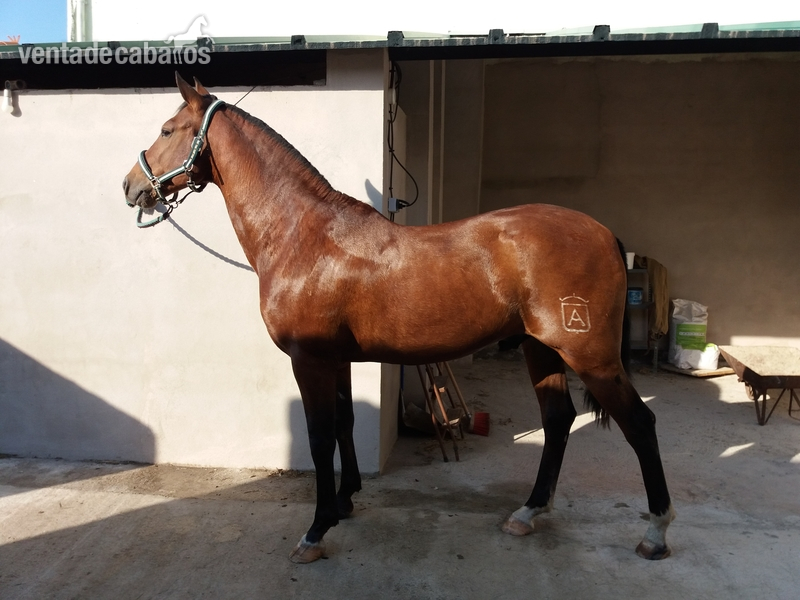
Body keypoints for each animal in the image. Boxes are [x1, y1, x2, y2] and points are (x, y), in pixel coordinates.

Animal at [122, 73, 675, 564]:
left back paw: (655, 533)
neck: (303, 234)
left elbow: (320, 437)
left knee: (640, 424)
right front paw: (345, 501)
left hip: (589, 355)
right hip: (540, 348)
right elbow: (345, 423)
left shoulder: (309, 360)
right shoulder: (336, 360)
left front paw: (316, 531)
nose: (131, 186)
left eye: (168, 130)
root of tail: (603, 232)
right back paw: (528, 512)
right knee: (558, 421)